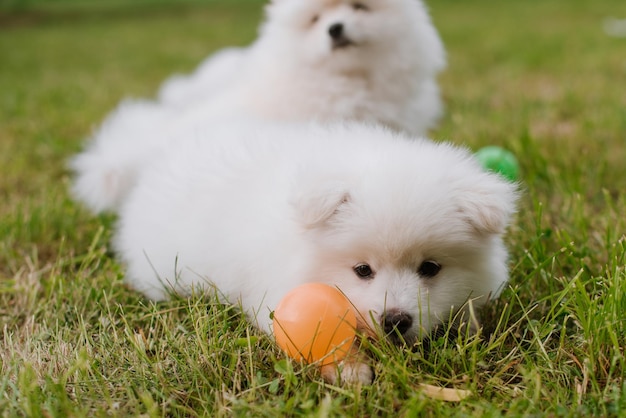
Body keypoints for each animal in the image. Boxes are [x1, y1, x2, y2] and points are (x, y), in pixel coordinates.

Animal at [70, 121, 516, 386]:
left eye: (430, 268)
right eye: (362, 270)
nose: (396, 320)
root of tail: (156, 158)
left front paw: (467, 330)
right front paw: (352, 370)